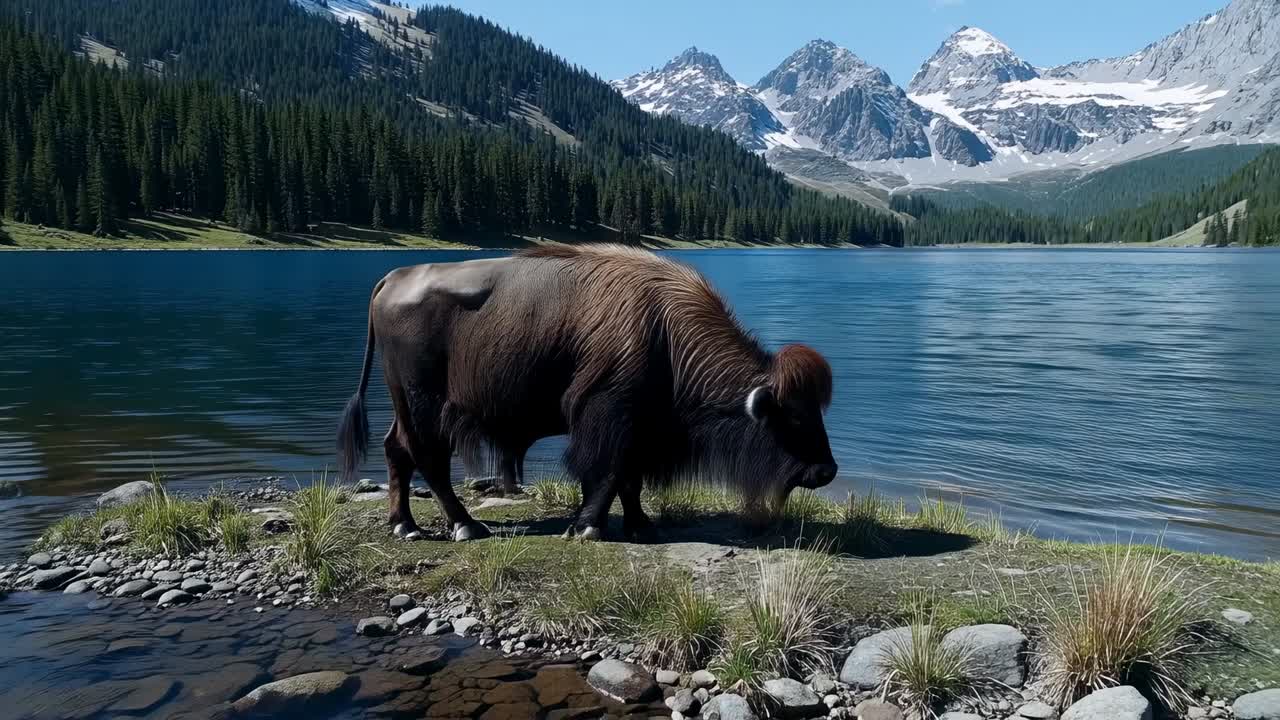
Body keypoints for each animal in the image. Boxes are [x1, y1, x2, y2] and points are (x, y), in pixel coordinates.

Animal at [337, 244, 836, 541]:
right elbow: (608, 473)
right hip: (427, 406)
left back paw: (405, 526)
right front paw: (588, 528)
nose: (827, 471)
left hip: (404, 404)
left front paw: (640, 526)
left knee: (397, 451)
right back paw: (466, 526)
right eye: (793, 416)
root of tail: (394, 276)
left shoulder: (639, 427)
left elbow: (630, 479)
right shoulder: (609, 417)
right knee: (429, 460)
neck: (666, 336)